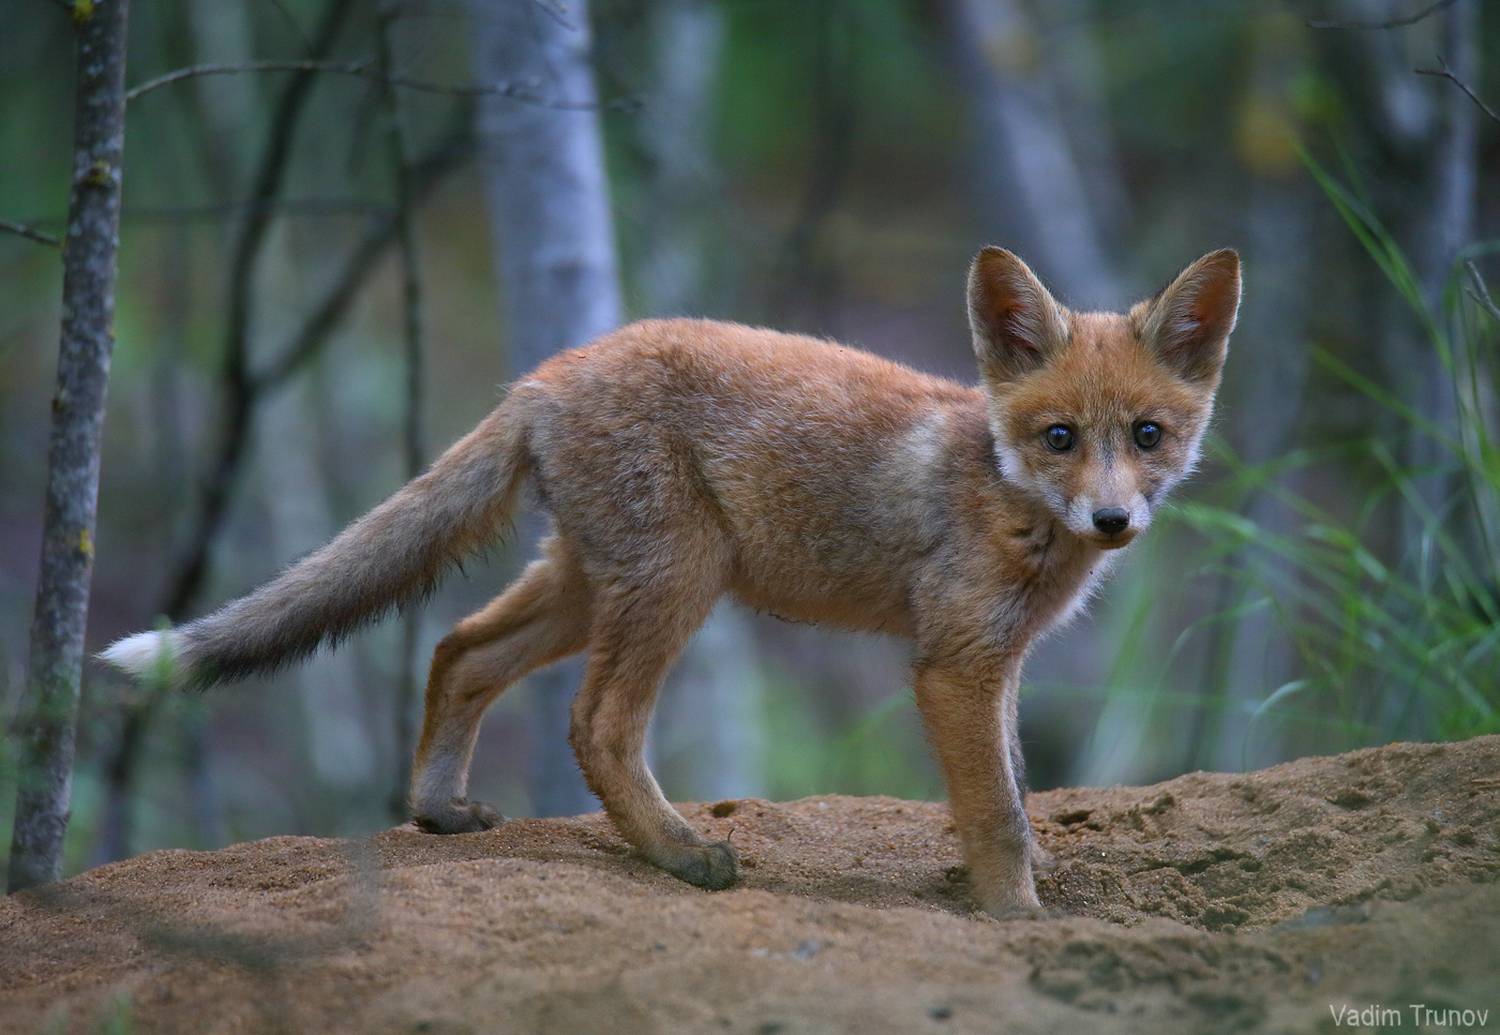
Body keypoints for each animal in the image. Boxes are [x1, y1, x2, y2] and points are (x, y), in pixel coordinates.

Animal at [102, 246, 1239, 916]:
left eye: (1147, 436)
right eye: (1060, 438)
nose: (1113, 520)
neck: (1000, 486)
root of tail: (548, 374)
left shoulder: (996, 665)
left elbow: (1012, 792)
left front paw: (1009, 881)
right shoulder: (955, 662)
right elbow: (999, 810)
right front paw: (1015, 916)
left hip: (588, 582)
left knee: (459, 648)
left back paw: (438, 811)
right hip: (678, 582)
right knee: (594, 722)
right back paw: (682, 855)